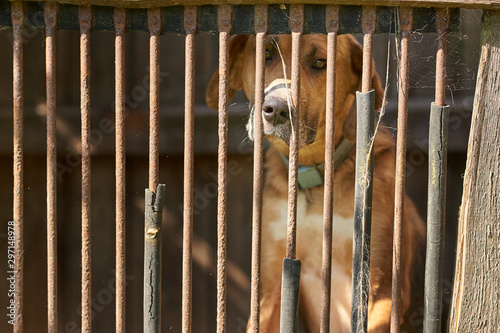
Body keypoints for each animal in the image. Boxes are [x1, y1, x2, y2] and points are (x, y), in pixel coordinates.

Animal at [205, 35, 424, 330]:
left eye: (320, 62)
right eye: (266, 53)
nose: (276, 110)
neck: (314, 179)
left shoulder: (381, 291)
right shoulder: (270, 288)